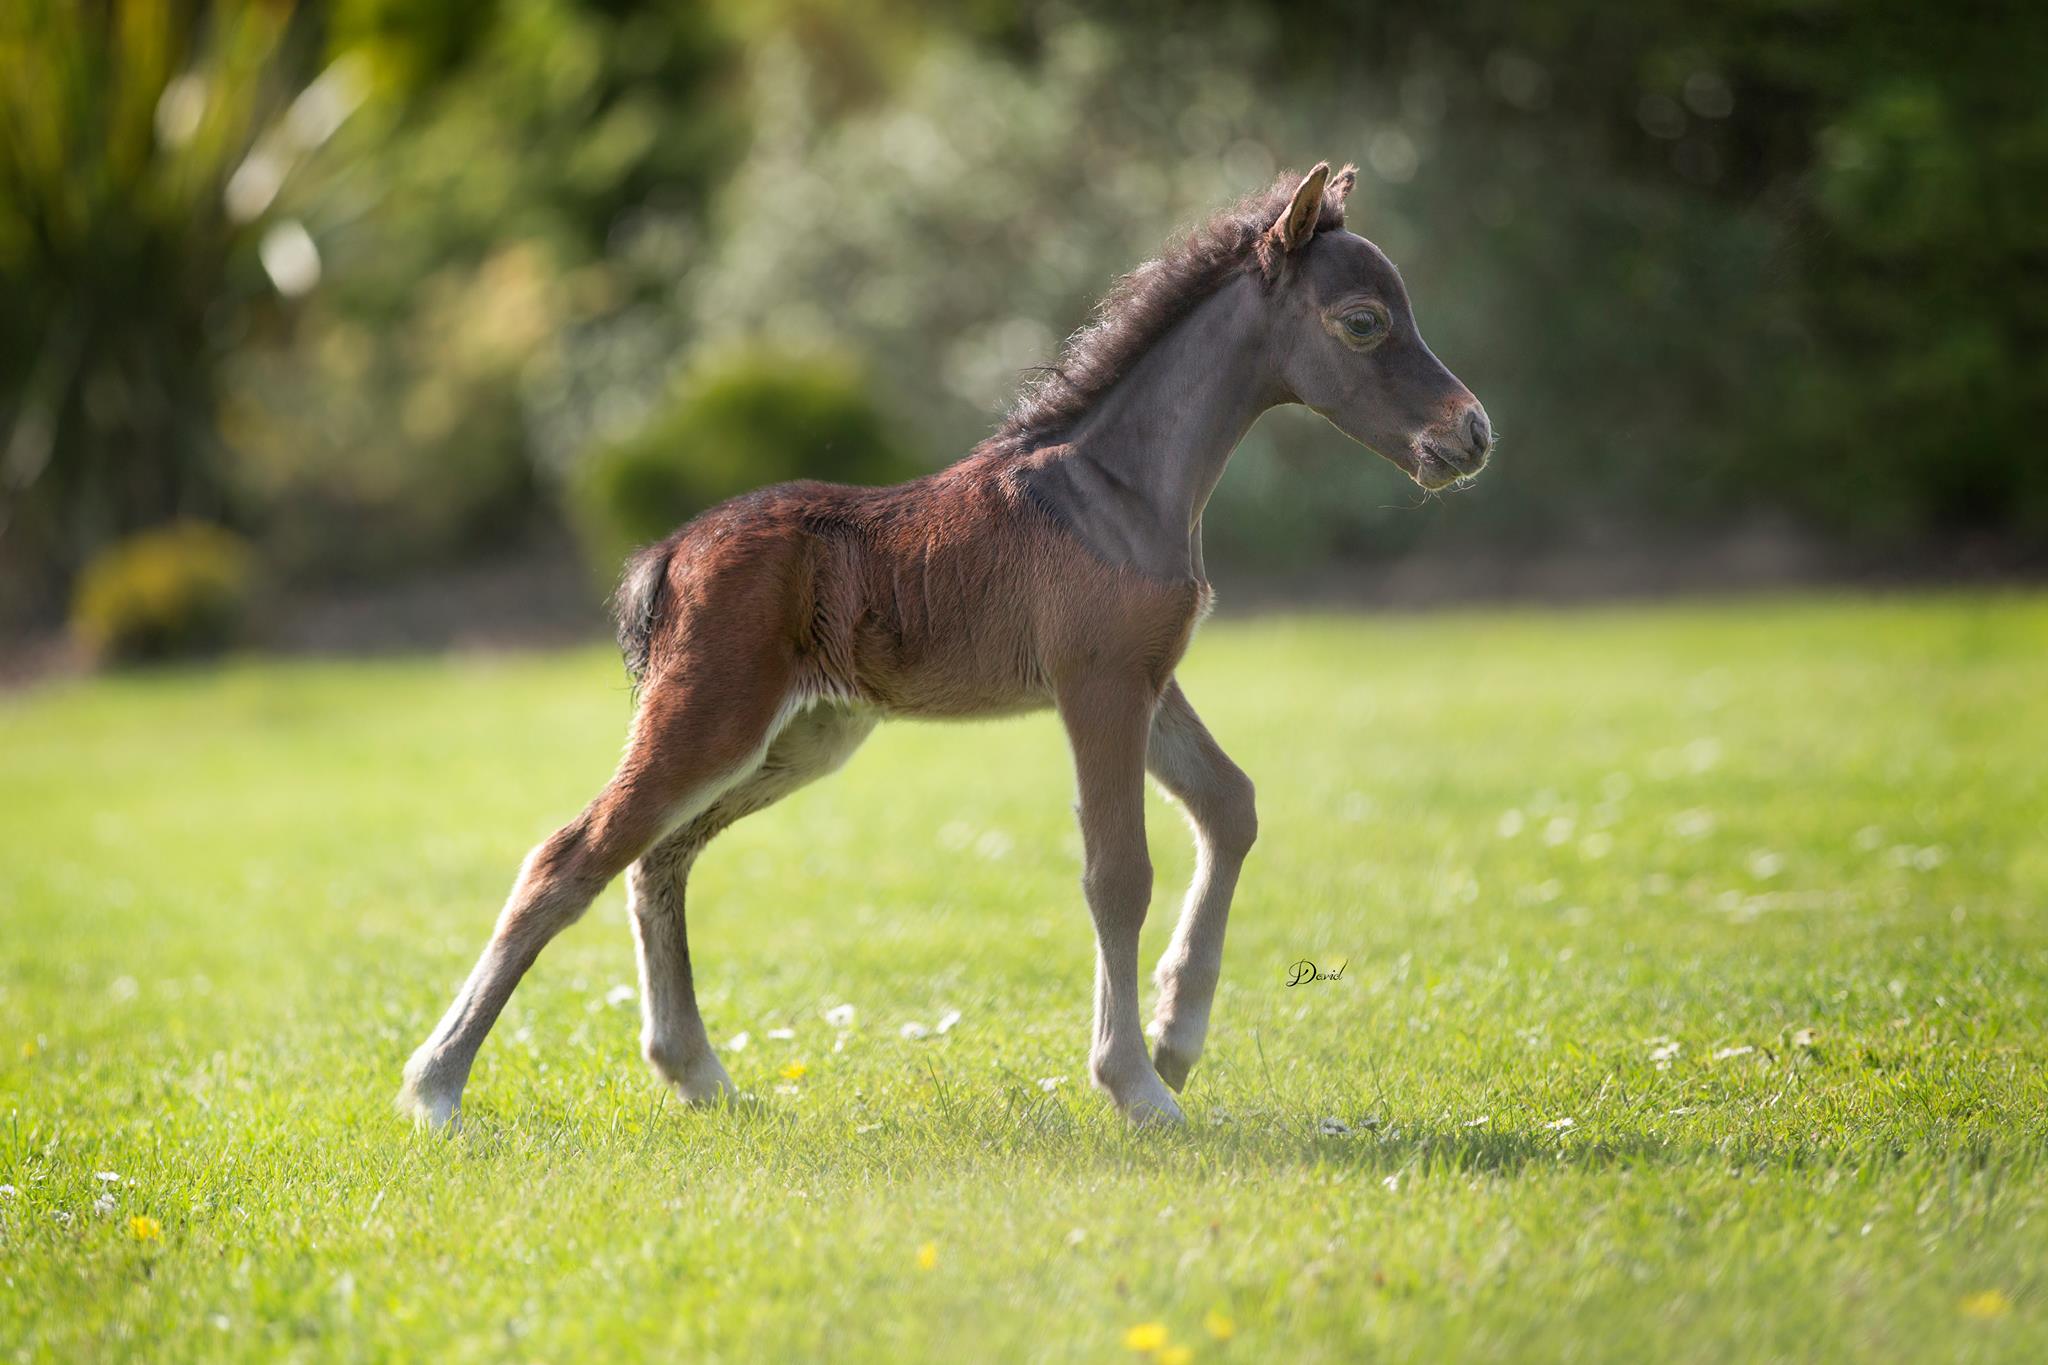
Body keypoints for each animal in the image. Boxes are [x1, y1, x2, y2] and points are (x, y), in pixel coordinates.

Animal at [399, 161, 1492, 1130]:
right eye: (1363, 322)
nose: (1473, 433)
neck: (1119, 491)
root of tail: (667, 553)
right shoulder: (1096, 684)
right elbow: (1116, 870)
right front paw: (1135, 1086)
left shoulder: (1148, 678)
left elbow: (1230, 805)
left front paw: (1176, 1039)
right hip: (710, 715)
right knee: (572, 854)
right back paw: (436, 1087)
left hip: (802, 737)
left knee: (658, 856)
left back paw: (698, 1076)